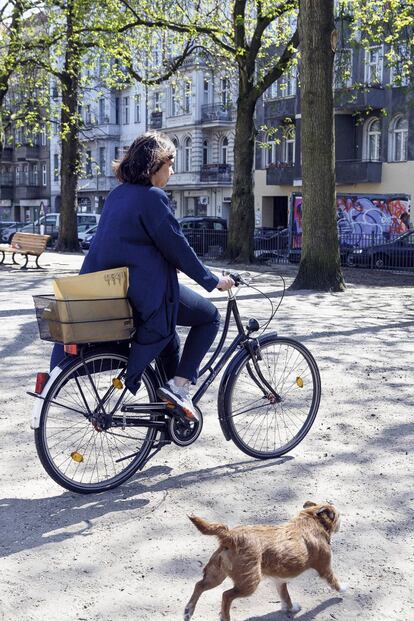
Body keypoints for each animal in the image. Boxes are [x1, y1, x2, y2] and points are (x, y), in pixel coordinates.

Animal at [184, 502, 346, 616]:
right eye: (338, 515)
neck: (311, 520)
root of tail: (230, 536)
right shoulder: (325, 568)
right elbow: (334, 582)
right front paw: (343, 589)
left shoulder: (280, 581)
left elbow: (286, 598)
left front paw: (291, 608)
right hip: (249, 583)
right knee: (226, 596)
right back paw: (223, 617)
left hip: (216, 574)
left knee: (199, 585)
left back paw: (188, 611)